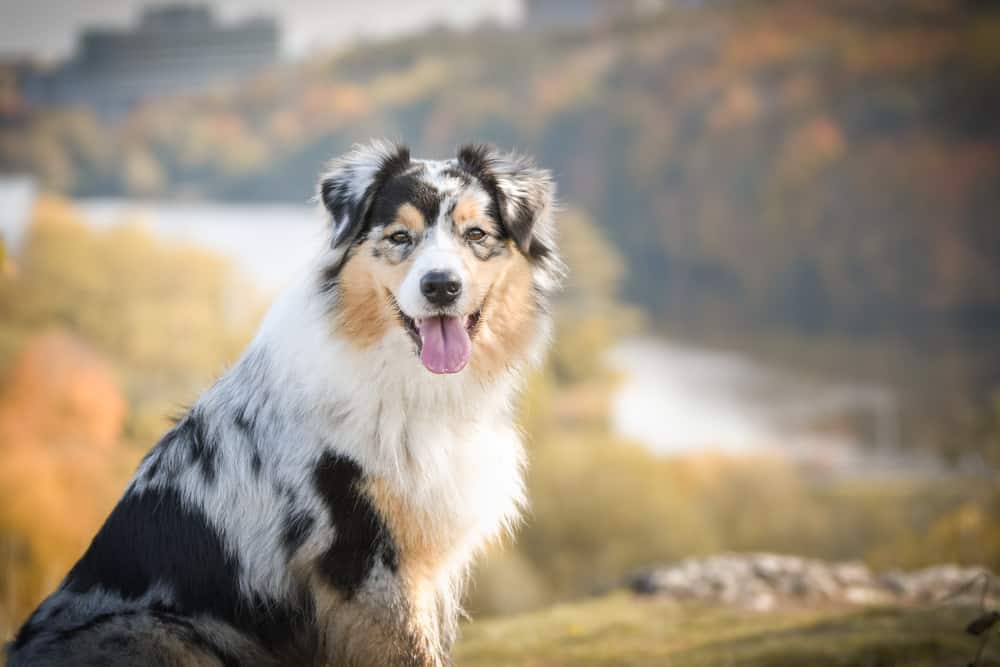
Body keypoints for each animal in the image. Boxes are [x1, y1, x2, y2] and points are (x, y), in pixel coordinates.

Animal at [5, 142, 564, 667]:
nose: (441, 286)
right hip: (160, 632)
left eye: (476, 235)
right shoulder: (364, 563)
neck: (411, 383)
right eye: (399, 238)